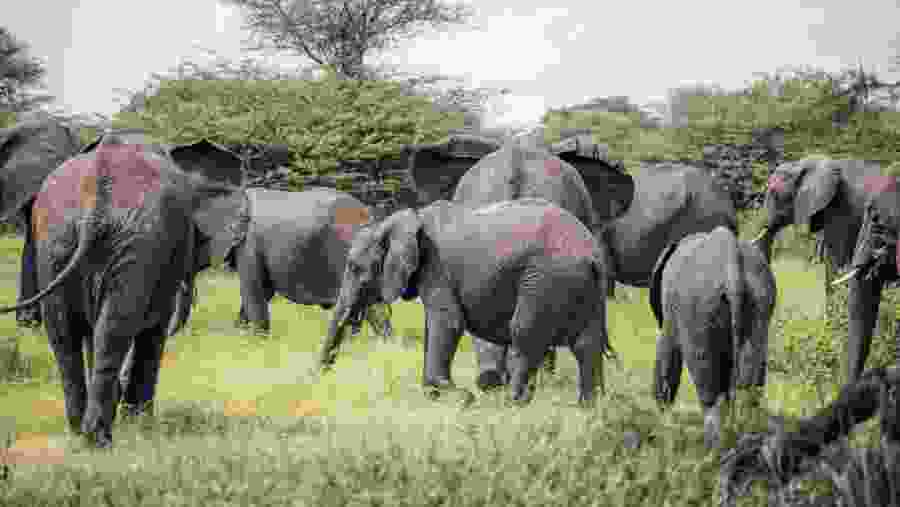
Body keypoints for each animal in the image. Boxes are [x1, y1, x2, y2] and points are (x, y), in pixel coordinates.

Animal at [0, 129, 244, 448]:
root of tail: (98, 187)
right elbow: (154, 330)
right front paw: (140, 424)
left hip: (57, 237)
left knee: (65, 335)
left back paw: (79, 432)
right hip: (137, 239)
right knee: (114, 329)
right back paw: (99, 439)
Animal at [318, 198, 614, 405]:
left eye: (355, 268)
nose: (322, 376)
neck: (400, 221)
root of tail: (593, 255)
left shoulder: (437, 267)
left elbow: (447, 322)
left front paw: (458, 397)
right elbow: (434, 326)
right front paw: (435, 394)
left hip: (544, 280)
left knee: (524, 337)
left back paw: (512, 403)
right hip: (588, 289)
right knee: (588, 344)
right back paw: (591, 407)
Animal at [649, 226, 777, 449]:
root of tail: (732, 266)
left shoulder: (672, 310)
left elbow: (667, 353)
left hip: (698, 308)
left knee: (708, 387)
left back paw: (713, 451)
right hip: (759, 302)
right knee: (749, 384)